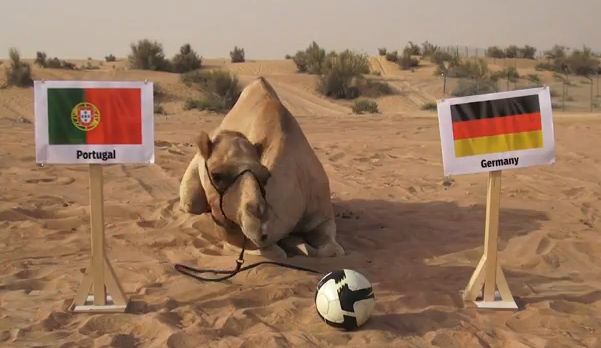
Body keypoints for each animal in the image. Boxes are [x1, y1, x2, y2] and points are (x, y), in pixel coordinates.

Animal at [179, 77, 342, 256]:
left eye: (265, 175)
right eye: (216, 175)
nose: (257, 223)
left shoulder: (323, 215)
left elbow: (332, 249)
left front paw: (299, 244)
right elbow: (277, 252)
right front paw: (295, 244)